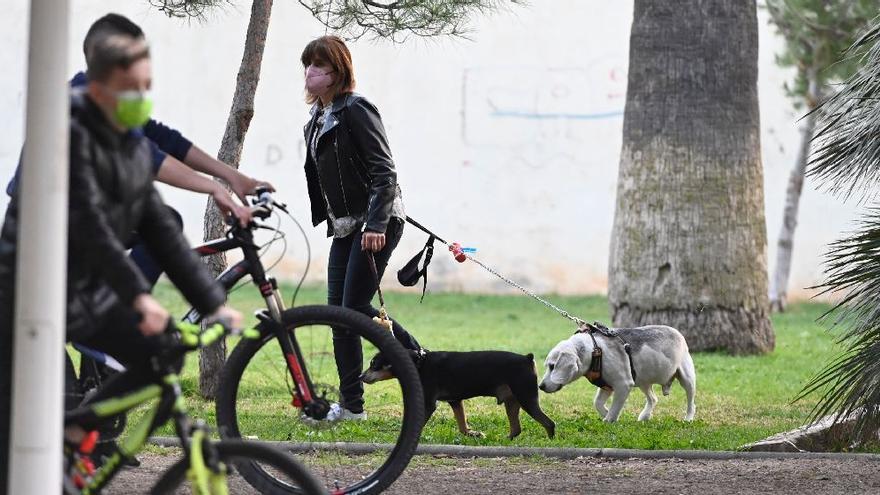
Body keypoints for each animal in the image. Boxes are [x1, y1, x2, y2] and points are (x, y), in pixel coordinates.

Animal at [360, 350, 552, 440]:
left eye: (373, 364)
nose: (360, 376)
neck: (419, 362)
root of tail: (527, 358)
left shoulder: (429, 403)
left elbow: (420, 422)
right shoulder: (455, 401)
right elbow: (462, 425)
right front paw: (473, 434)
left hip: (526, 397)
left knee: (549, 423)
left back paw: (550, 439)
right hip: (512, 401)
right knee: (516, 428)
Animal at [536, 326, 696, 422]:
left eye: (552, 366)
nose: (540, 386)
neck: (594, 350)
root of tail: (678, 333)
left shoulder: (622, 385)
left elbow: (615, 408)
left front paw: (609, 419)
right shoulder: (606, 386)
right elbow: (597, 403)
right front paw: (605, 412)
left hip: (687, 379)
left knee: (691, 403)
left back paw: (688, 418)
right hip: (643, 381)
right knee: (653, 398)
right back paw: (644, 416)